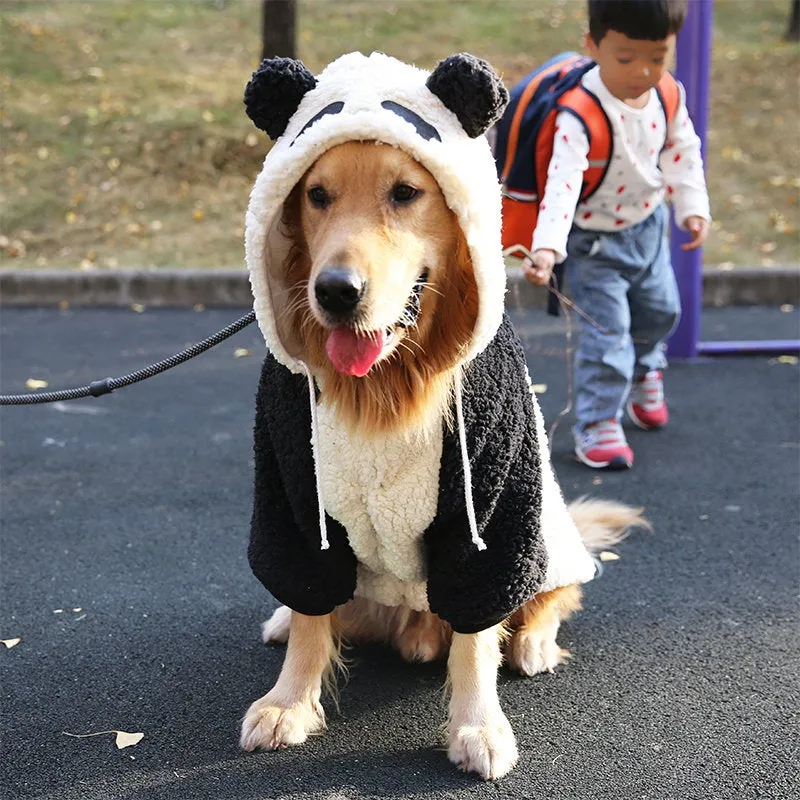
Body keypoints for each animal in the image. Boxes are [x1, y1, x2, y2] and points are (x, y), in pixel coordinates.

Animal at [238, 141, 644, 780]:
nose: (335, 291)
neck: (384, 384)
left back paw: (532, 643)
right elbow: (309, 612)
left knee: (553, 597)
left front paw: (478, 726)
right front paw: (289, 702)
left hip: (544, 544)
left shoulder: (493, 514)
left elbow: (476, 638)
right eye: (316, 195)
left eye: (405, 192)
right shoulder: (296, 500)